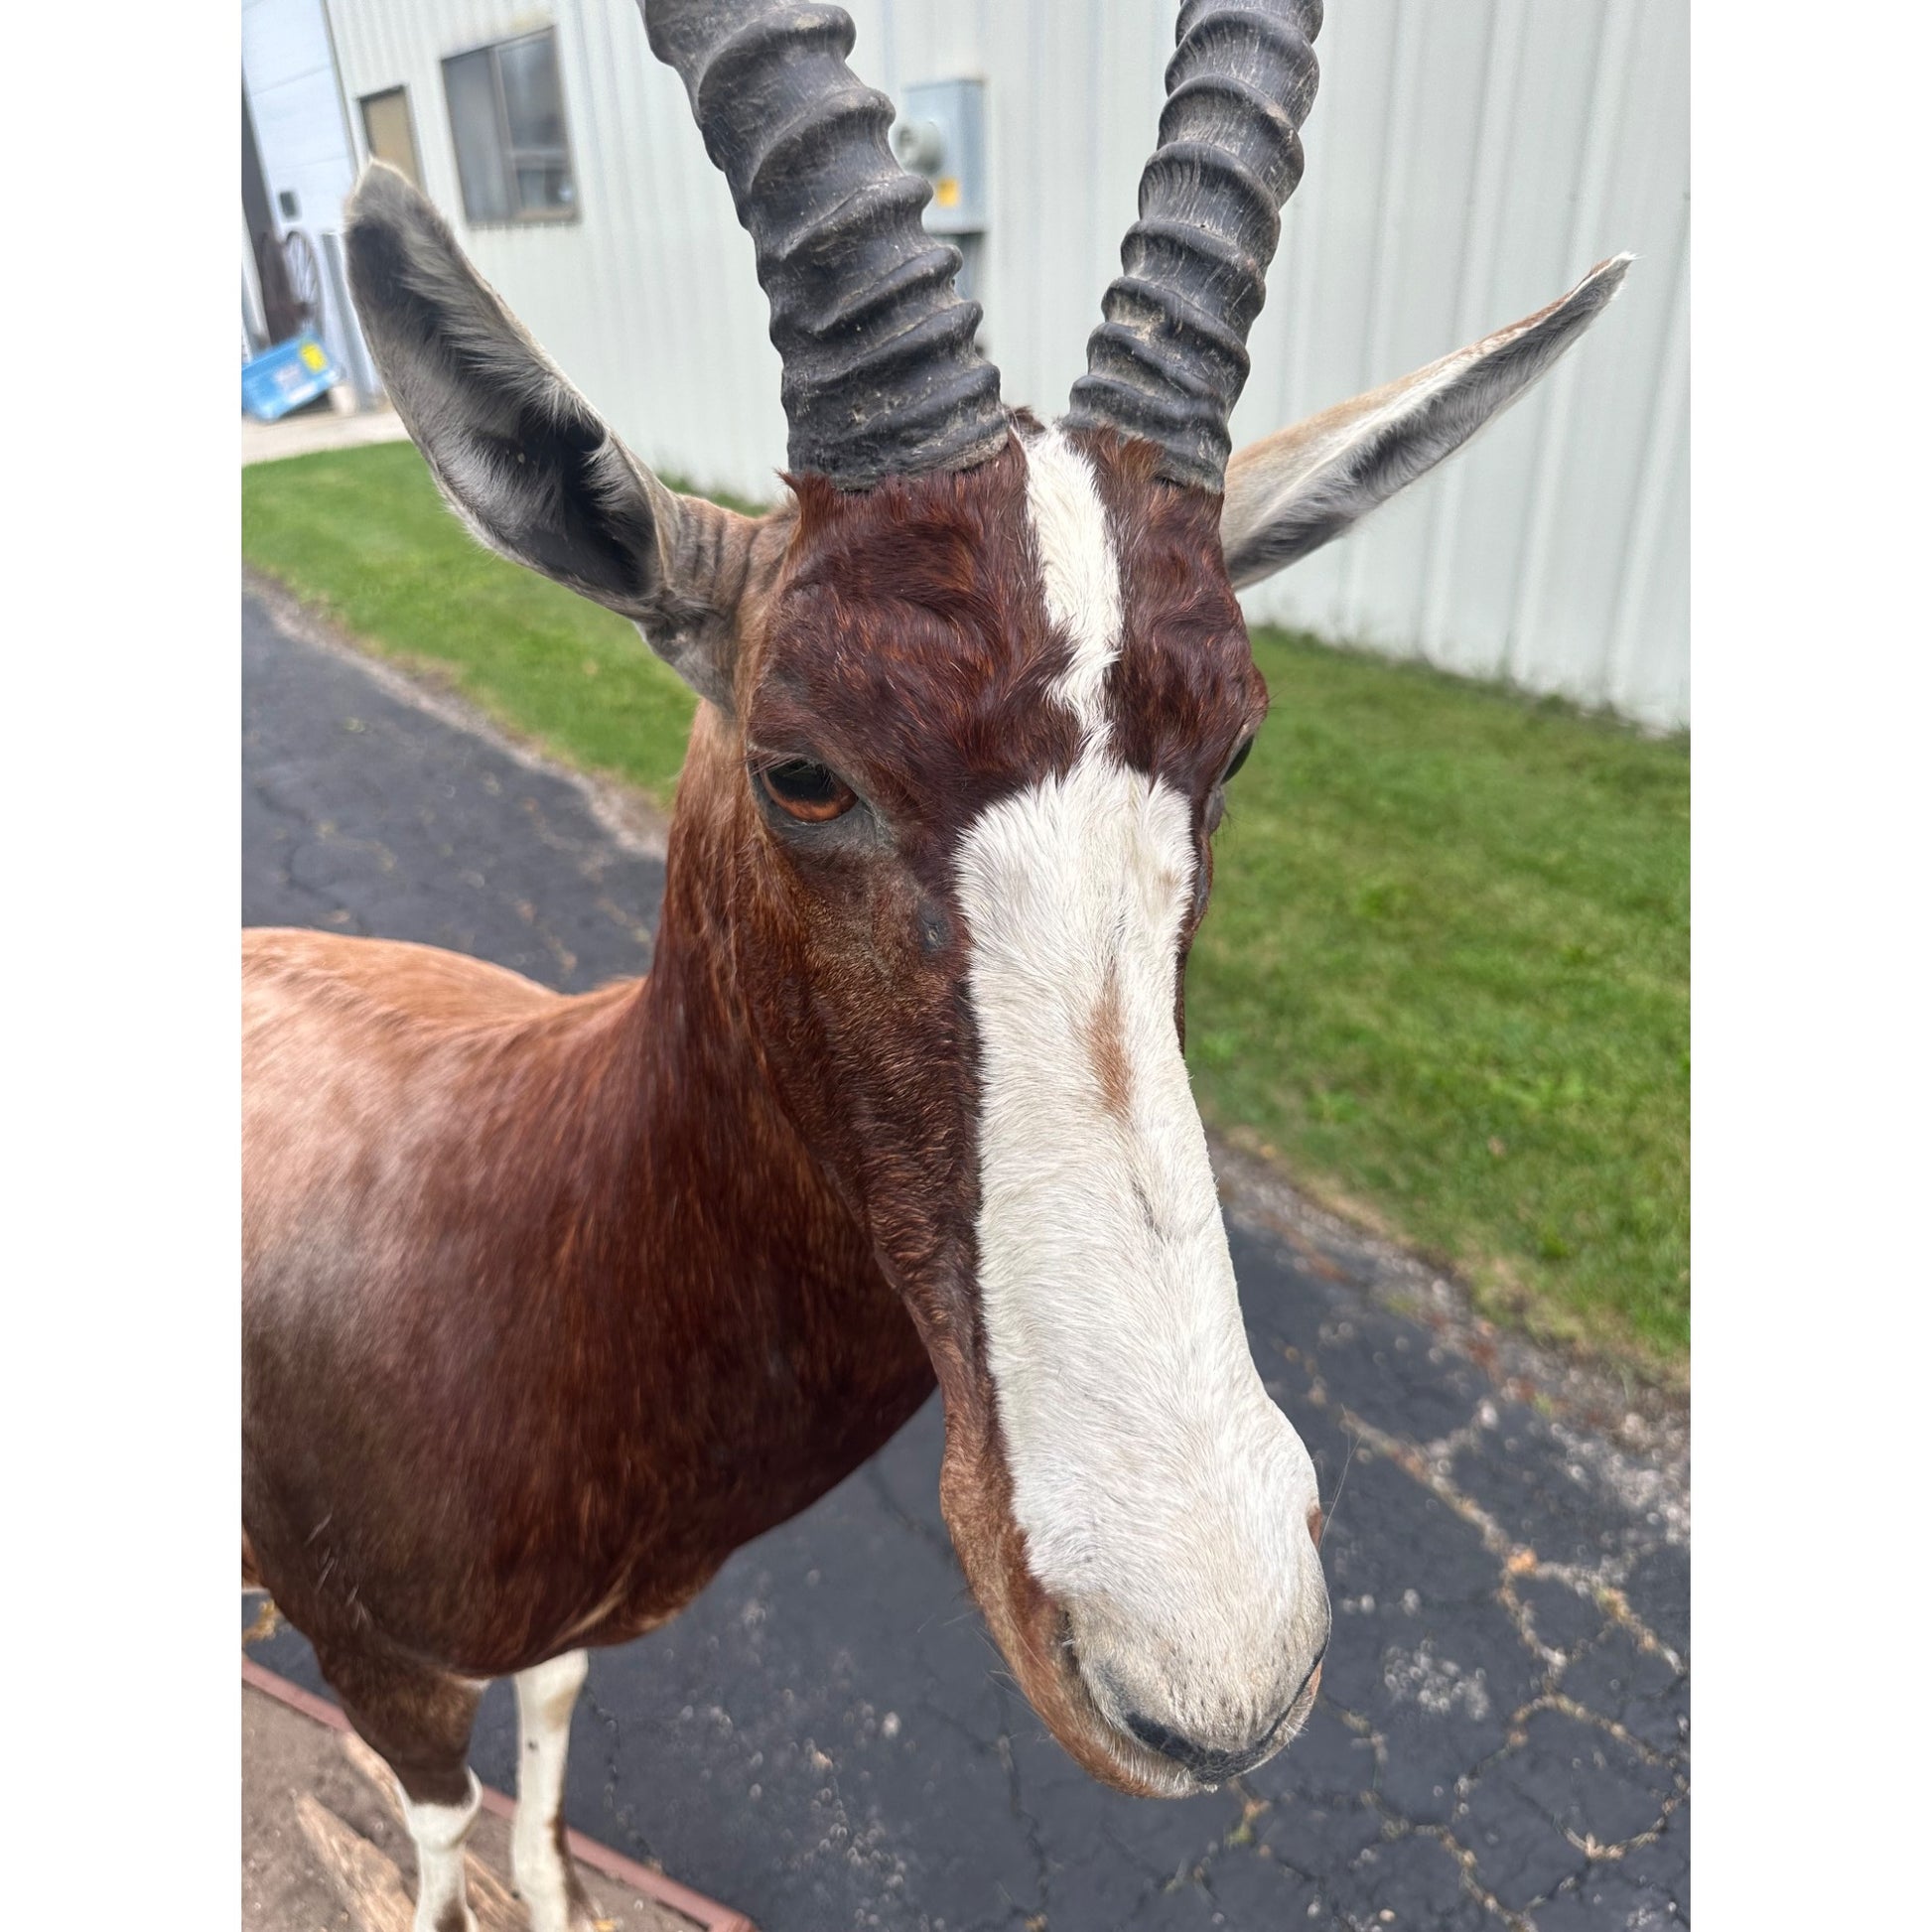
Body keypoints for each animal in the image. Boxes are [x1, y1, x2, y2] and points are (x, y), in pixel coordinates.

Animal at [242, 3, 1629, 1926]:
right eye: (801, 764)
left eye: (1239, 744)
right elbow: (442, 1830)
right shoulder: (382, 1667)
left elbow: (550, 1750)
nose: (1212, 1666)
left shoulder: (555, 1649)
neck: (495, 1183)